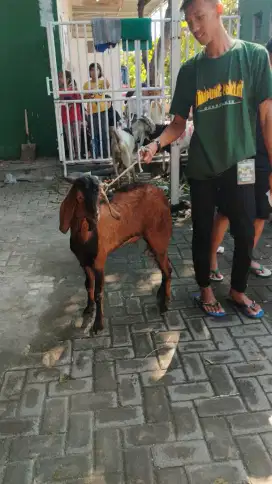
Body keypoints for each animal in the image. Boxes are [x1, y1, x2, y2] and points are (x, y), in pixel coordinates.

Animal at [60, 176, 172, 334]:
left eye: (99, 196)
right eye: (79, 197)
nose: (95, 217)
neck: (86, 236)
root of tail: (161, 194)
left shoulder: (99, 261)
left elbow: (99, 292)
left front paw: (98, 325)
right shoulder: (84, 262)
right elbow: (88, 285)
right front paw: (88, 309)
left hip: (159, 237)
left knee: (167, 269)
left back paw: (165, 304)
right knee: (165, 267)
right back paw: (161, 295)